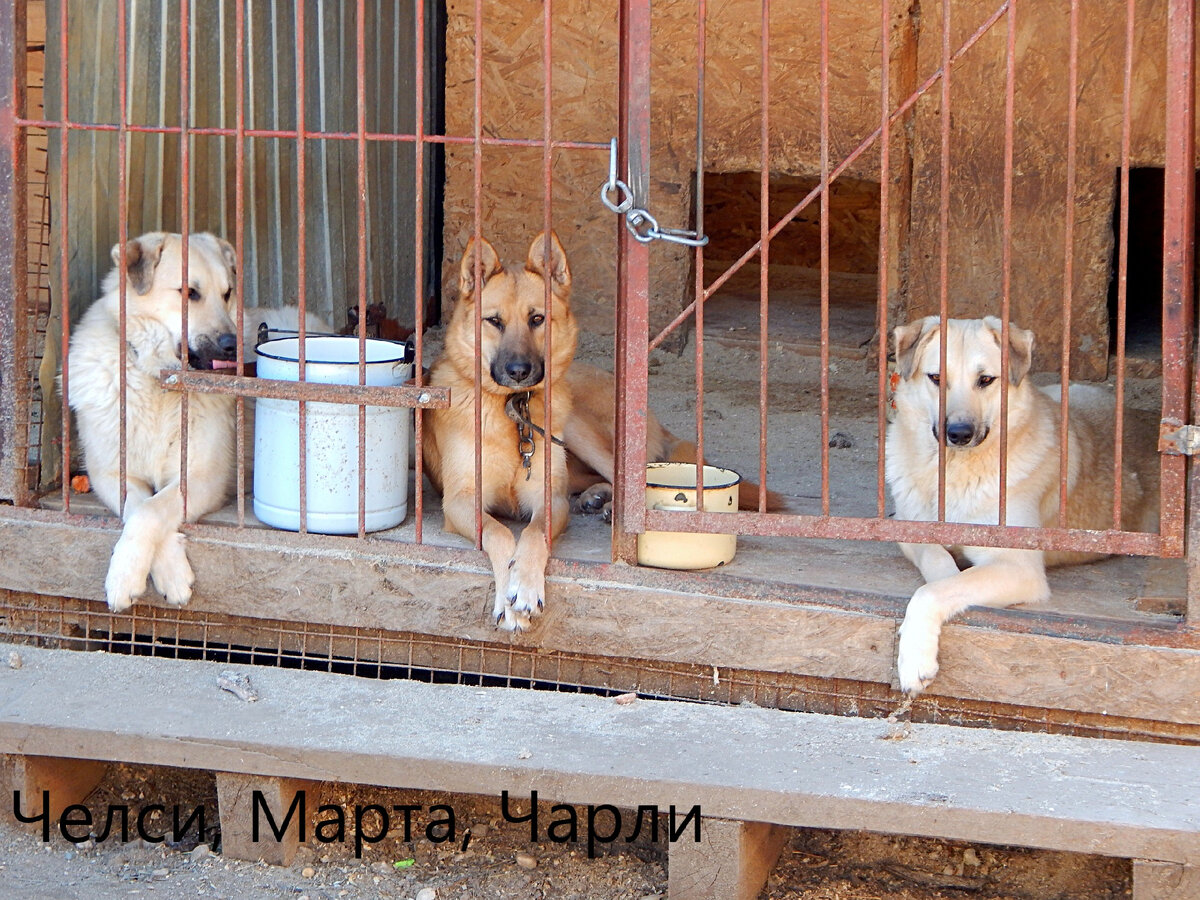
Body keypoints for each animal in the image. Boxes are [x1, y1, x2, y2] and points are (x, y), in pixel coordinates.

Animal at [424, 230, 578, 628]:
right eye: (494, 321)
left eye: (537, 318)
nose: (519, 371)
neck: (511, 409)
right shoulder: (460, 501)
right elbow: (498, 531)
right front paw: (508, 600)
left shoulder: (551, 499)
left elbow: (533, 534)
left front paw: (524, 586)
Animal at [888, 316, 1156, 696]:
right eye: (936, 378)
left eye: (986, 380)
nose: (959, 433)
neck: (954, 472)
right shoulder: (907, 529)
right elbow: (937, 564)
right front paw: (951, 572)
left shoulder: (1020, 567)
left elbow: (929, 593)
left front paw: (914, 659)